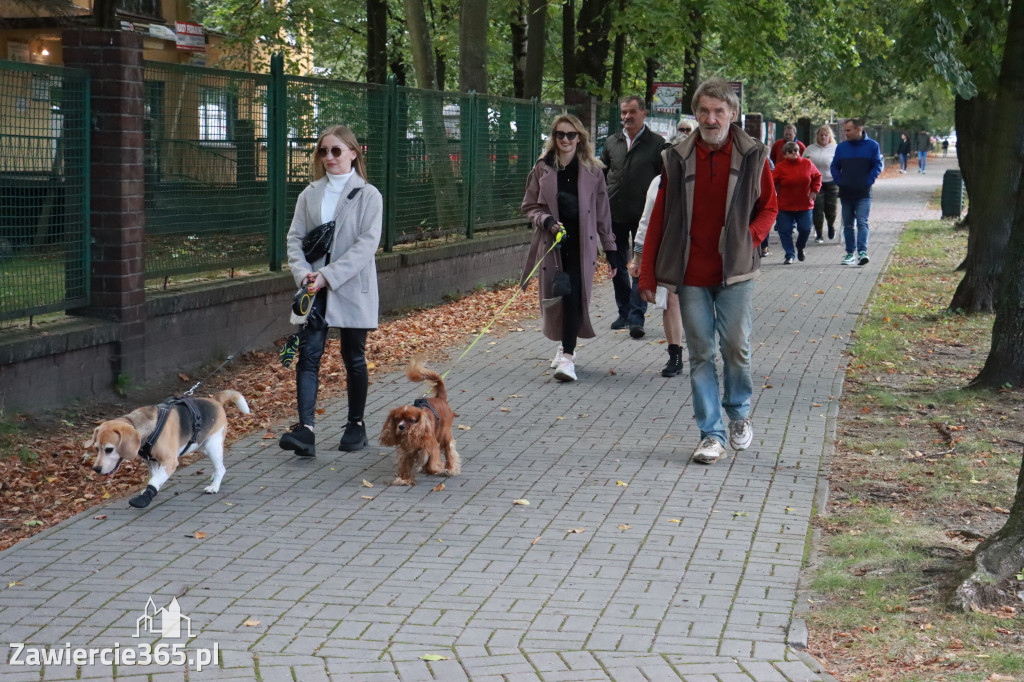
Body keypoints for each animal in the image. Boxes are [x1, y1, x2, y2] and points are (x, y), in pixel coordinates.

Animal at [86, 391, 249, 507]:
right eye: (96, 448)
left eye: (109, 449)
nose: (96, 469)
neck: (148, 428)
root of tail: (214, 400)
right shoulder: (151, 461)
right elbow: (154, 477)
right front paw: (150, 491)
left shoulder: (170, 462)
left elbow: (155, 479)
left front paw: (145, 496)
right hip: (202, 446)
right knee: (218, 465)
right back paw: (214, 477)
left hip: (212, 445)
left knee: (221, 468)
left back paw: (214, 486)